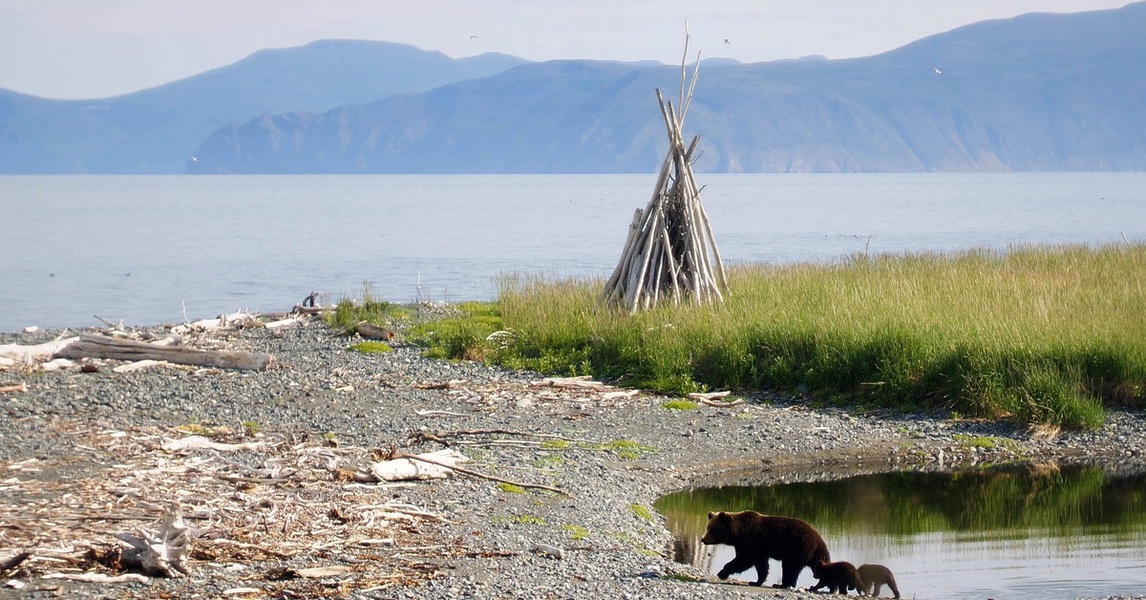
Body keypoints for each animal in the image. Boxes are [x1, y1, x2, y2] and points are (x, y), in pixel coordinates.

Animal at [701, 508, 829, 586]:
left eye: (712, 529)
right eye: (708, 527)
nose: (703, 539)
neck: (738, 533)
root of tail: (818, 539)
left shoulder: (751, 542)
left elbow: (744, 560)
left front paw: (722, 572)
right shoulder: (759, 549)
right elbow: (761, 566)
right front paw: (756, 581)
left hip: (796, 547)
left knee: (790, 567)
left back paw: (782, 584)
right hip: (813, 554)